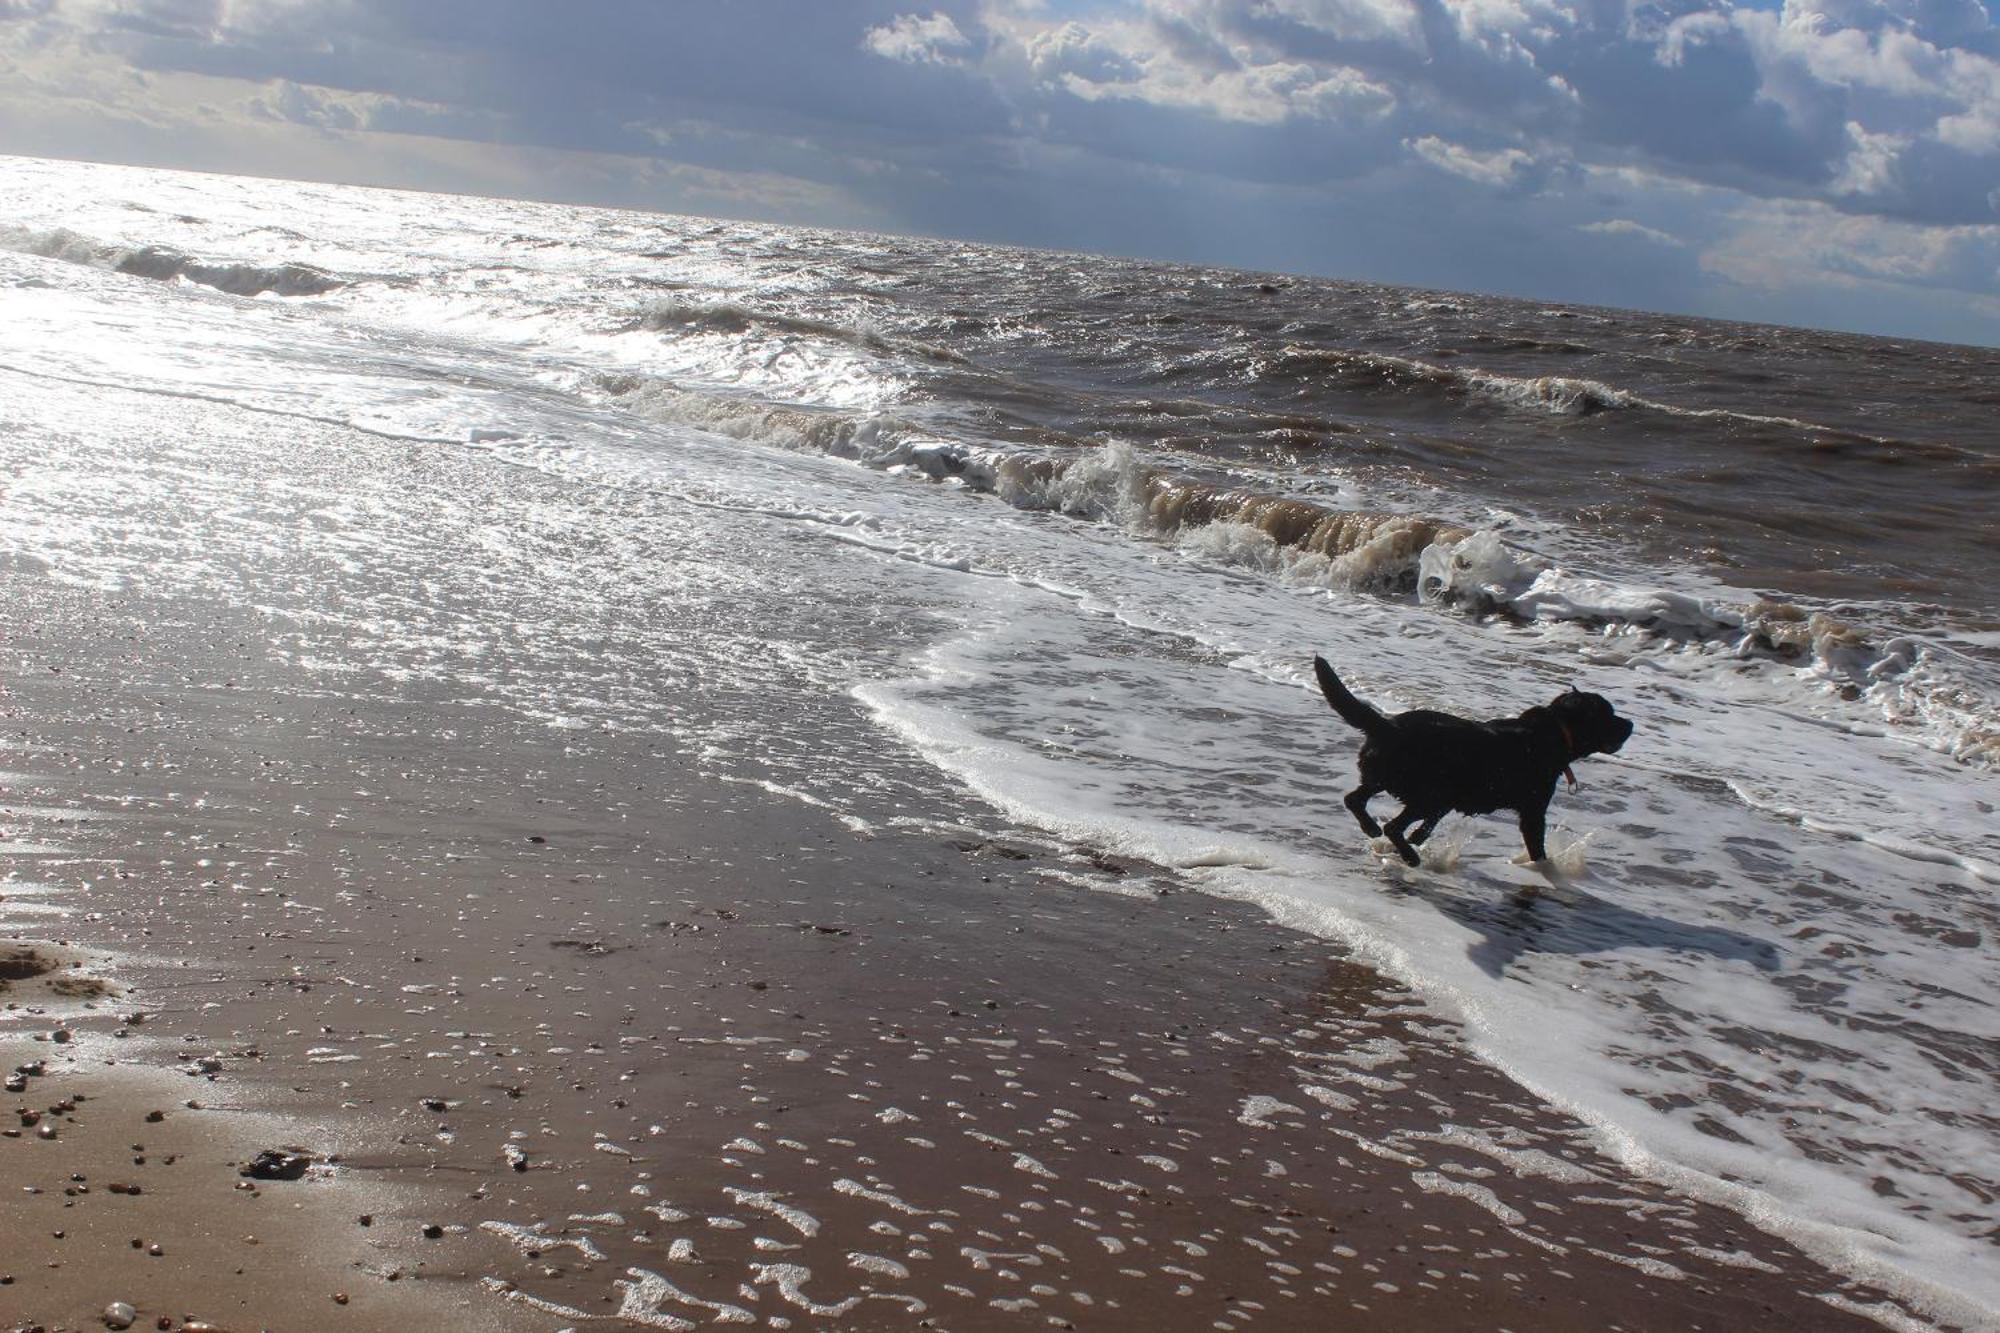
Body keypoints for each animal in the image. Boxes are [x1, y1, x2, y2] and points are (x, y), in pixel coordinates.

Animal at [1320, 656, 1632, 868]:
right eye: (1608, 714)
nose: (1630, 724)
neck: (1554, 732)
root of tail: (1390, 725)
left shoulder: (1448, 801)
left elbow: (1427, 827)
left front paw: (1417, 839)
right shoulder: (1533, 811)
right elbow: (1537, 847)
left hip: (1385, 778)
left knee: (1354, 799)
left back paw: (1374, 830)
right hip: (1426, 793)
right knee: (1392, 826)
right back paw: (1408, 856)